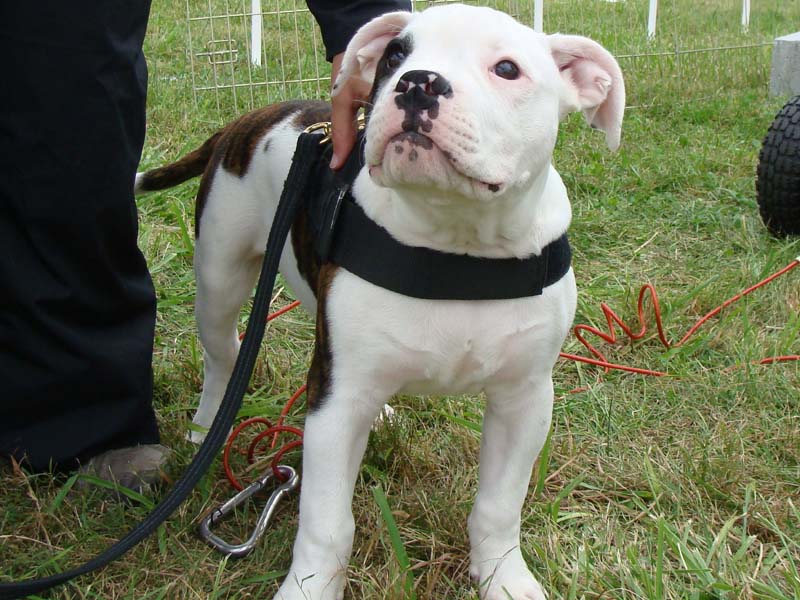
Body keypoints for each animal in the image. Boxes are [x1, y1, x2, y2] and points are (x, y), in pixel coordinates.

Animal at [136, 3, 624, 596]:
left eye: (507, 69)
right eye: (395, 56)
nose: (418, 82)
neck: (456, 240)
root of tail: (249, 119)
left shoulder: (524, 399)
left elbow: (499, 504)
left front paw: (503, 577)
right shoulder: (335, 405)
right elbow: (327, 522)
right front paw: (308, 587)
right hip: (219, 277)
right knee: (222, 353)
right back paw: (207, 426)